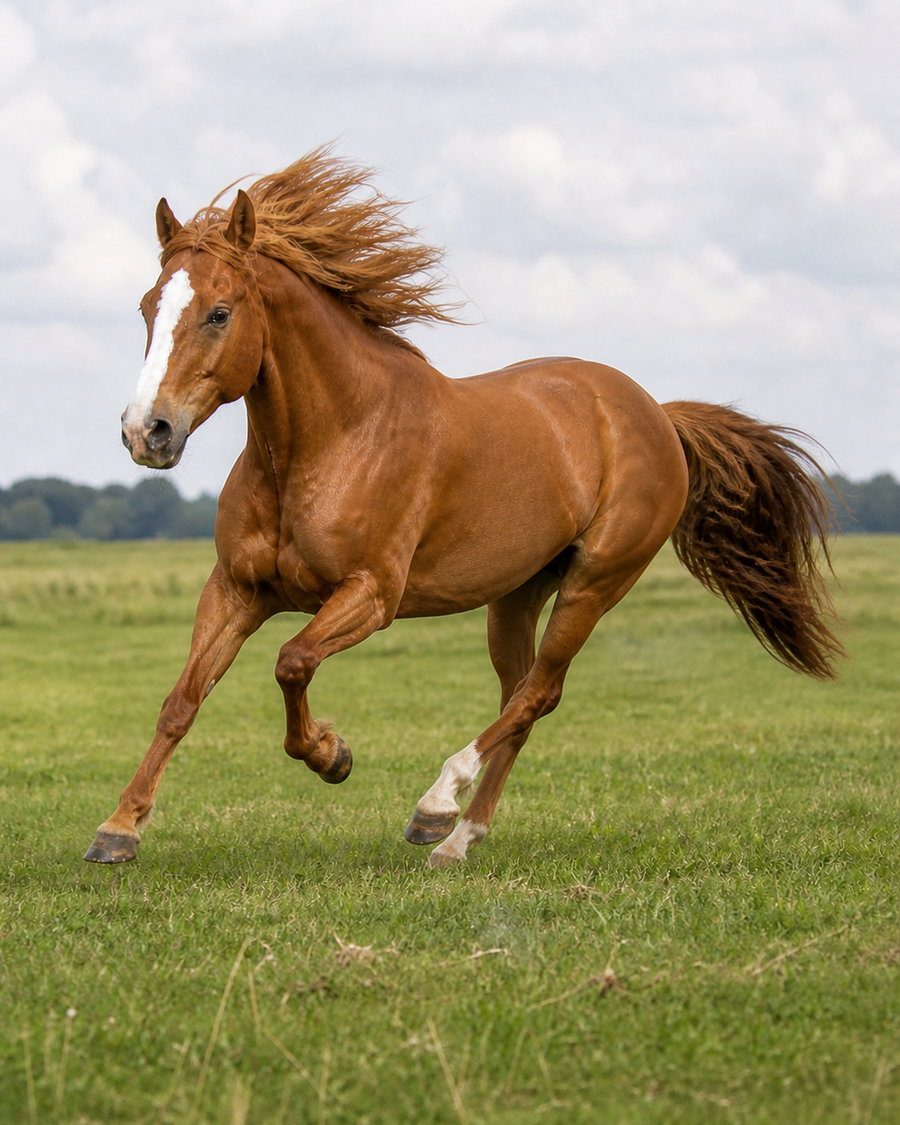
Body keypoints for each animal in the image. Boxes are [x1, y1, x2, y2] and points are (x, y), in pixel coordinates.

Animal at [84, 148, 842, 868]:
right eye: (148, 308)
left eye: (220, 312)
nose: (146, 432)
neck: (332, 441)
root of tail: (656, 412)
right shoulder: (237, 589)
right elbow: (182, 700)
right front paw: (118, 829)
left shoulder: (370, 594)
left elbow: (292, 662)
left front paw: (334, 755)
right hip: (517, 593)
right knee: (523, 697)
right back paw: (458, 838)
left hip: (594, 582)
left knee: (538, 692)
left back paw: (437, 806)